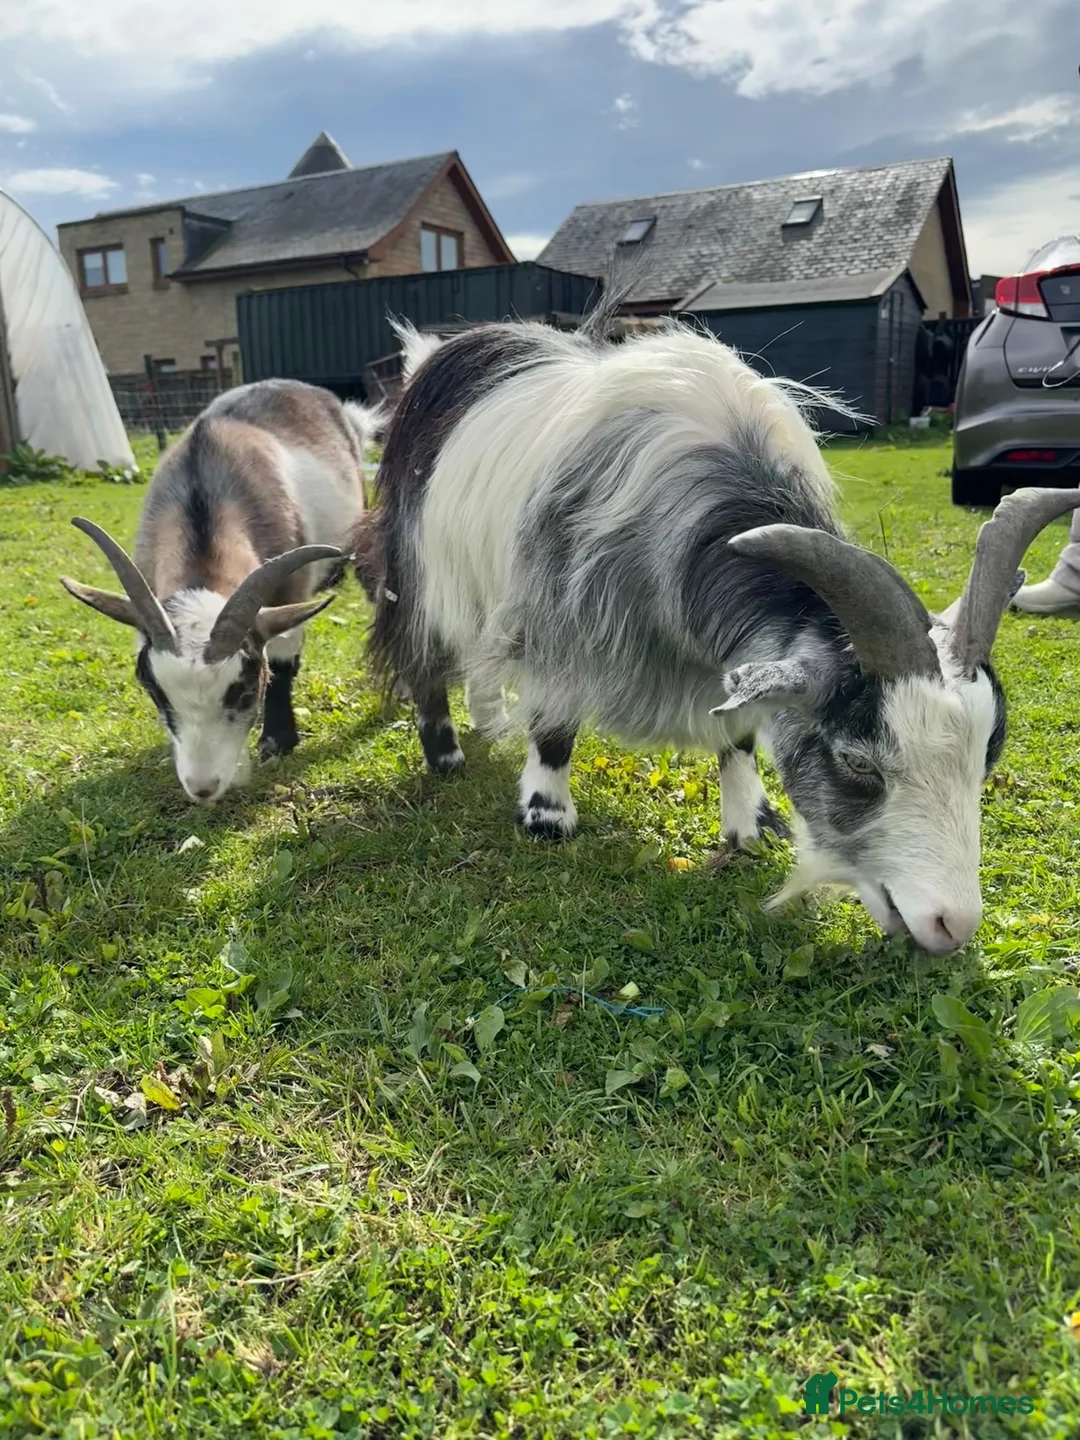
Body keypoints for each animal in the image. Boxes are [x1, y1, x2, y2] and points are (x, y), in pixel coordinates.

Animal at [62, 379, 382, 803]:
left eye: (245, 691)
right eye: (155, 691)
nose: (203, 788)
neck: (204, 491)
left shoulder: (289, 592)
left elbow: (283, 661)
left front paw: (276, 741)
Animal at [364, 317, 1080, 955]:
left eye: (987, 754)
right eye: (857, 762)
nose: (951, 926)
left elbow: (736, 728)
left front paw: (751, 822)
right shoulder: (560, 616)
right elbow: (554, 722)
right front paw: (546, 814)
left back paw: (488, 722)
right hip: (423, 573)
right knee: (427, 657)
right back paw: (448, 753)